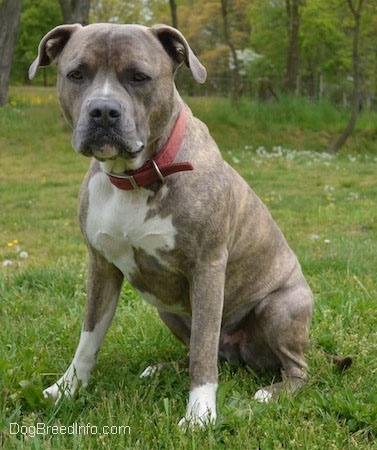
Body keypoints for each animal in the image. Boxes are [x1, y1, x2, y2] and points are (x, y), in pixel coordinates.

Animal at [28, 23, 312, 426]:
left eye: (139, 77)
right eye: (76, 74)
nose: (103, 110)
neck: (135, 176)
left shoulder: (207, 268)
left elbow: (204, 350)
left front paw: (199, 414)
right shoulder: (101, 266)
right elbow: (89, 337)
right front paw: (66, 389)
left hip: (280, 308)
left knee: (291, 367)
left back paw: (271, 394)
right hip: (170, 310)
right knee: (203, 351)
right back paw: (163, 369)